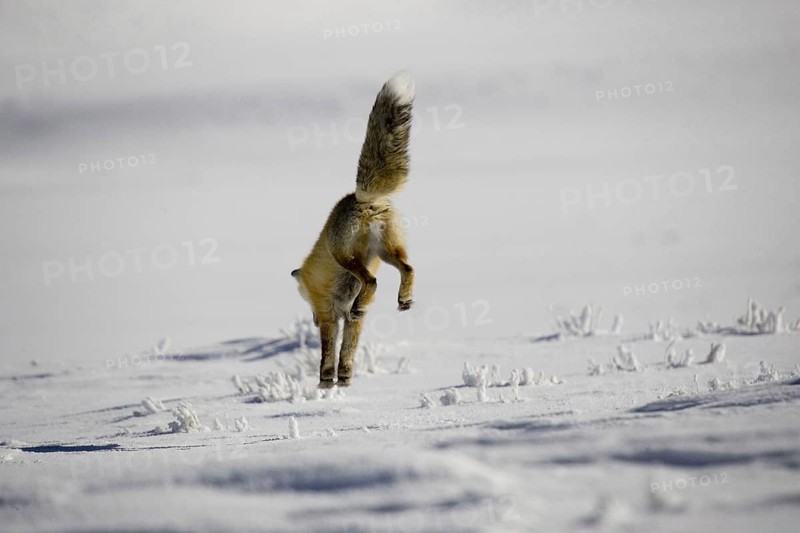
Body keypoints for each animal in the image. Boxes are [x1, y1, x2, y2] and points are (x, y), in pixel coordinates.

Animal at [291, 71, 416, 389]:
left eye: (305, 301)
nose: (310, 319)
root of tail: (362, 198)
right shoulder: (350, 320)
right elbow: (348, 351)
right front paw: (344, 379)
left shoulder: (329, 315)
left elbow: (327, 353)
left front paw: (325, 382)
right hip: (387, 253)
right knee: (407, 269)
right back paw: (404, 299)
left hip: (346, 256)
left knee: (371, 281)